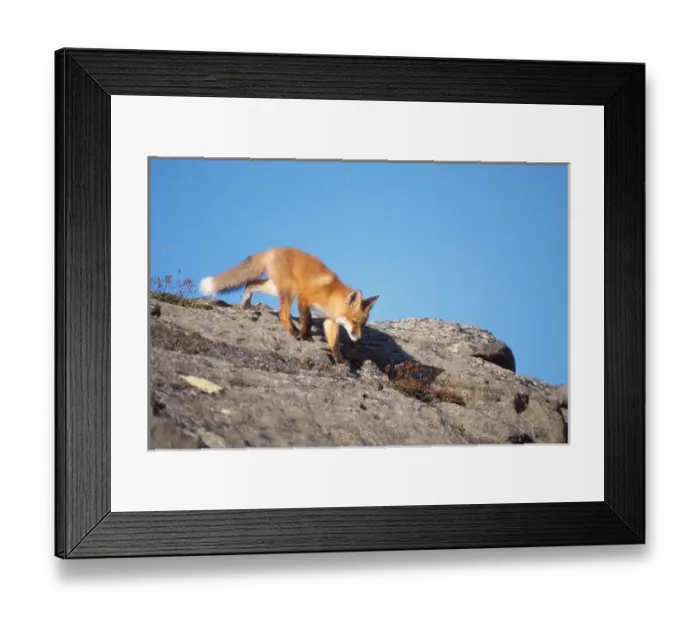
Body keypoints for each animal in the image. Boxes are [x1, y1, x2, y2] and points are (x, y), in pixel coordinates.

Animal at [199, 247, 379, 363]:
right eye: (354, 322)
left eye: (363, 325)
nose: (359, 339)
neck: (330, 295)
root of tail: (273, 249)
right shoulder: (303, 298)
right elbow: (308, 321)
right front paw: (305, 336)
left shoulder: (330, 320)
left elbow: (334, 342)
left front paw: (339, 360)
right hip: (289, 291)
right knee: (282, 314)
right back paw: (292, 331)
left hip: (273, 288)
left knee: (250, 283)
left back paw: (246, 303)